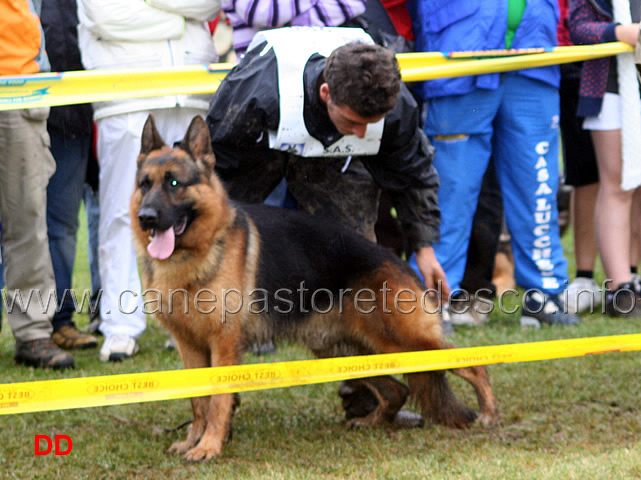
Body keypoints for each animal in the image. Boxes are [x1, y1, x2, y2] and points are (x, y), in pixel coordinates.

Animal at [131, 114, 500, 464]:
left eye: (175, 183)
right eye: (144, 185)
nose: (146, 217)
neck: (196, 252)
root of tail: (401, 262)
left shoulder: (223, 345)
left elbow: (219, 398)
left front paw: (208, 446)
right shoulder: (189, 346)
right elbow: (199, 400)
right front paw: (193, 440)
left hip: (405, 341)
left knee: (472, 364)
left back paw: (489, 413)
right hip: (342, 349)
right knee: (396, 390)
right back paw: (371, 421)